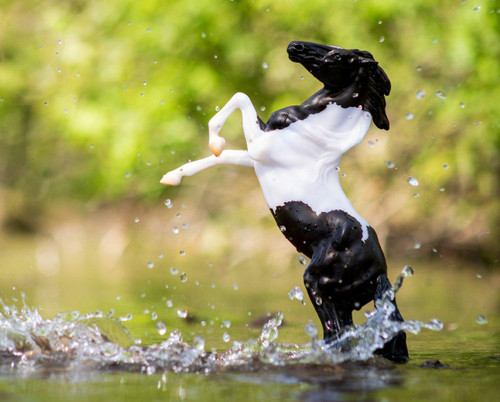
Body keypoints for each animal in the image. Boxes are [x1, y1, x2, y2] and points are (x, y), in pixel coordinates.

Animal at [162, 42, 408, 362]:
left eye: (338, 55)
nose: (295, 46)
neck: (309, 127)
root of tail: (380, 272)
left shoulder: (259, 146)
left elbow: (240, 99)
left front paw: (214, 140)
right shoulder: (256, 156)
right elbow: (222, 156)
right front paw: (173, 176)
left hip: (319, 285)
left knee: (335, 334)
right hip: (345, 300)